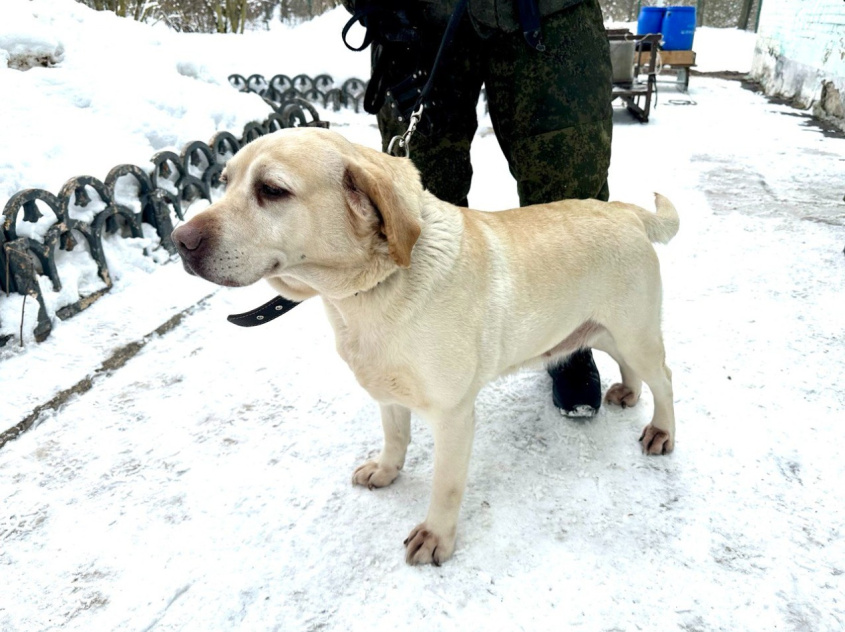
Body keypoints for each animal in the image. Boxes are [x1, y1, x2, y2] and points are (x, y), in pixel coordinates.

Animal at [171, 126, 680, 564]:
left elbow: (446, 486)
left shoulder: (453, 415)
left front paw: (437, 537)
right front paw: (385, 470)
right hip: (603, 330)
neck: (369, 292)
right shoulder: (387, 392)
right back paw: (627, 392)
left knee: (666, 379)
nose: (180, 240)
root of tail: (626, 210)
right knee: (630, 368)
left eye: (272, 190)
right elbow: (395, 438)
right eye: (223, 182)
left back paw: (662, 431)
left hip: (634, 332)